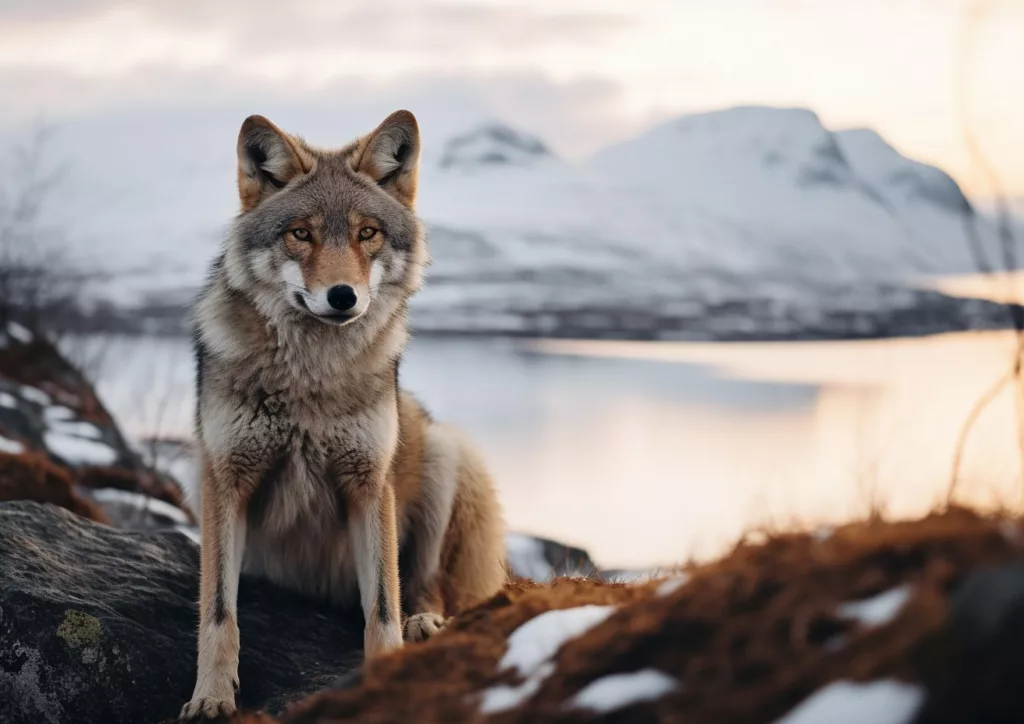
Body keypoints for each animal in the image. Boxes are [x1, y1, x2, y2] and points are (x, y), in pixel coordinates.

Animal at [183, 111, 507, 720]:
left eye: (367, 233)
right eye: (301, 233)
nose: (342, 296)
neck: (311, 380)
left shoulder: (369, 485)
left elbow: (381, 608)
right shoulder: (224, 481)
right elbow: (218, 613)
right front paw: (211, 696)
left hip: (447, 454)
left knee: (428, 584)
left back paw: (425, 620)